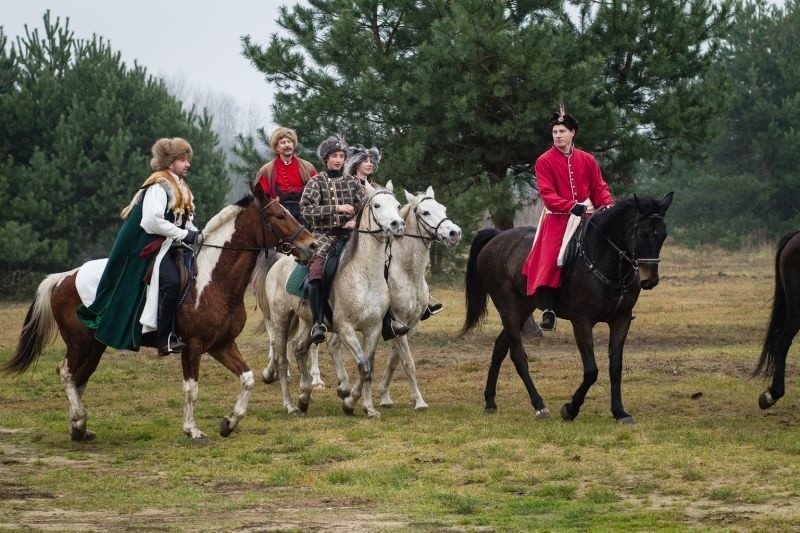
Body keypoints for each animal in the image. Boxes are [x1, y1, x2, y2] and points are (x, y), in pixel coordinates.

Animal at [1, 187, 318, 440]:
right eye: (279, 216)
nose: (312, 244)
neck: (213, 278)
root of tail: (64, 278)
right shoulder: (192, 346)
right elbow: (191, 388)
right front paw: (192, 430)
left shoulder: (221, 345)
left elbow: (247, 377)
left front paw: (229, 422)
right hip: (80, 343)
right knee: (66, 373)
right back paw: (78, 420)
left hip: (94, 345)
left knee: (79, 378)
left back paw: (79, 428)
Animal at [256, 183, 406, 416]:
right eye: (377, 205)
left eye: (398, 205)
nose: (397, 224)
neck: (365, 275)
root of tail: (280, 262)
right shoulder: (345, 328)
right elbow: (363, 365)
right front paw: (349, 402)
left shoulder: (373, 329)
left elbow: (369, 368)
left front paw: (369, 407)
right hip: (281, 319)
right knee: (282, 361)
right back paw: (290, 405)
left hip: (308, 321)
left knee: (299, 348)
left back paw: (304, 396)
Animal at [460, 193, 672, 422]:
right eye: (642, 234)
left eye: (663, 235)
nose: (650, 281)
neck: (604, 259)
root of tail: (496, 237)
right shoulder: (581, 321)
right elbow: (591, 370)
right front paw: (571, 409)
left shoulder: (621, 320)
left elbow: (615, 367)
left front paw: (619, 411)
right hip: (507, 306)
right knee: (517, 355)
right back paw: (539, 405)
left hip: (523, 307)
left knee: (499, 347)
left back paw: (490, 400)